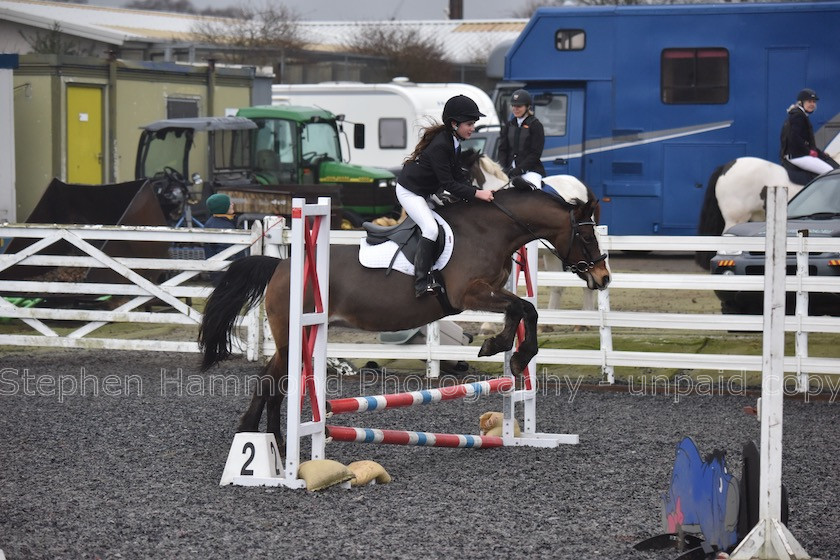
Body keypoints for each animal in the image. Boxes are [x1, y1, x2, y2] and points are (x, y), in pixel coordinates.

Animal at [199, 177, 612, 444]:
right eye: (586, 234)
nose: (604, 277)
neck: (491, 230)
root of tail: (281, 265)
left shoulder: (491, 291)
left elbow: (520, 310)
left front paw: (500, 348)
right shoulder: (469, 294)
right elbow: (526, 308)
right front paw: (515, 353)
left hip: (295, 338)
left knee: (271, 383)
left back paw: (267, 442)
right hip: (294, 337)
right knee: (273, 383)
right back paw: (264, 446)